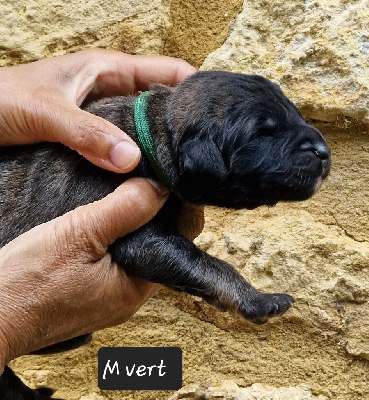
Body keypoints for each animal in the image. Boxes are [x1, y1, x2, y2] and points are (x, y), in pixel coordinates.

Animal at [0, 71, 330, 396]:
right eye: (262, 133)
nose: (324, 152)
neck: (153, 130)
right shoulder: (136, 233)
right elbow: (206, 262)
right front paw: (258, 299)